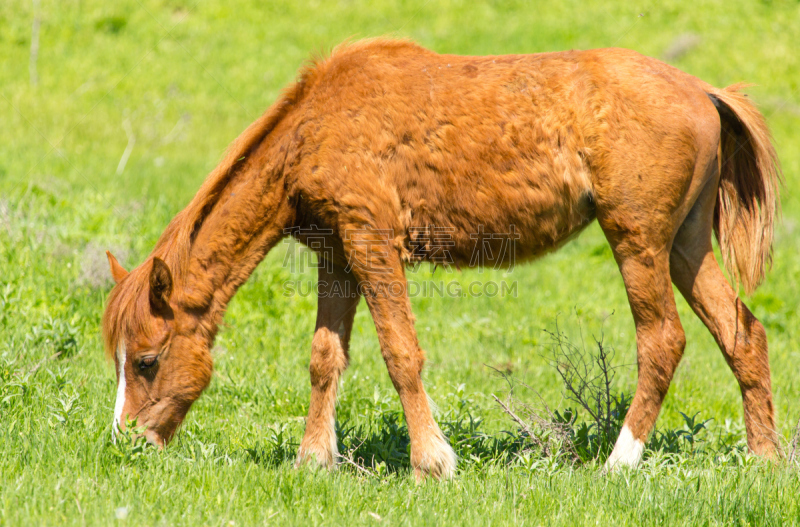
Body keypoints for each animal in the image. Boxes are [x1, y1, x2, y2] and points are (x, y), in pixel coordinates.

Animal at [104, 39, 780, 480]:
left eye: (146, 361)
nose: (126, 444)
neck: (316, 126)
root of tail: (705, 91)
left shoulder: (373, 242)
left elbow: (401, 354)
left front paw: (432, 462)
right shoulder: (337, 255)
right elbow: (325, 358)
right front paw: (313, 459)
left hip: (638, 241)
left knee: (662, 340)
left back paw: (619, 461)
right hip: (685, 245)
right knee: (742, 333)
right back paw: (766, 457)